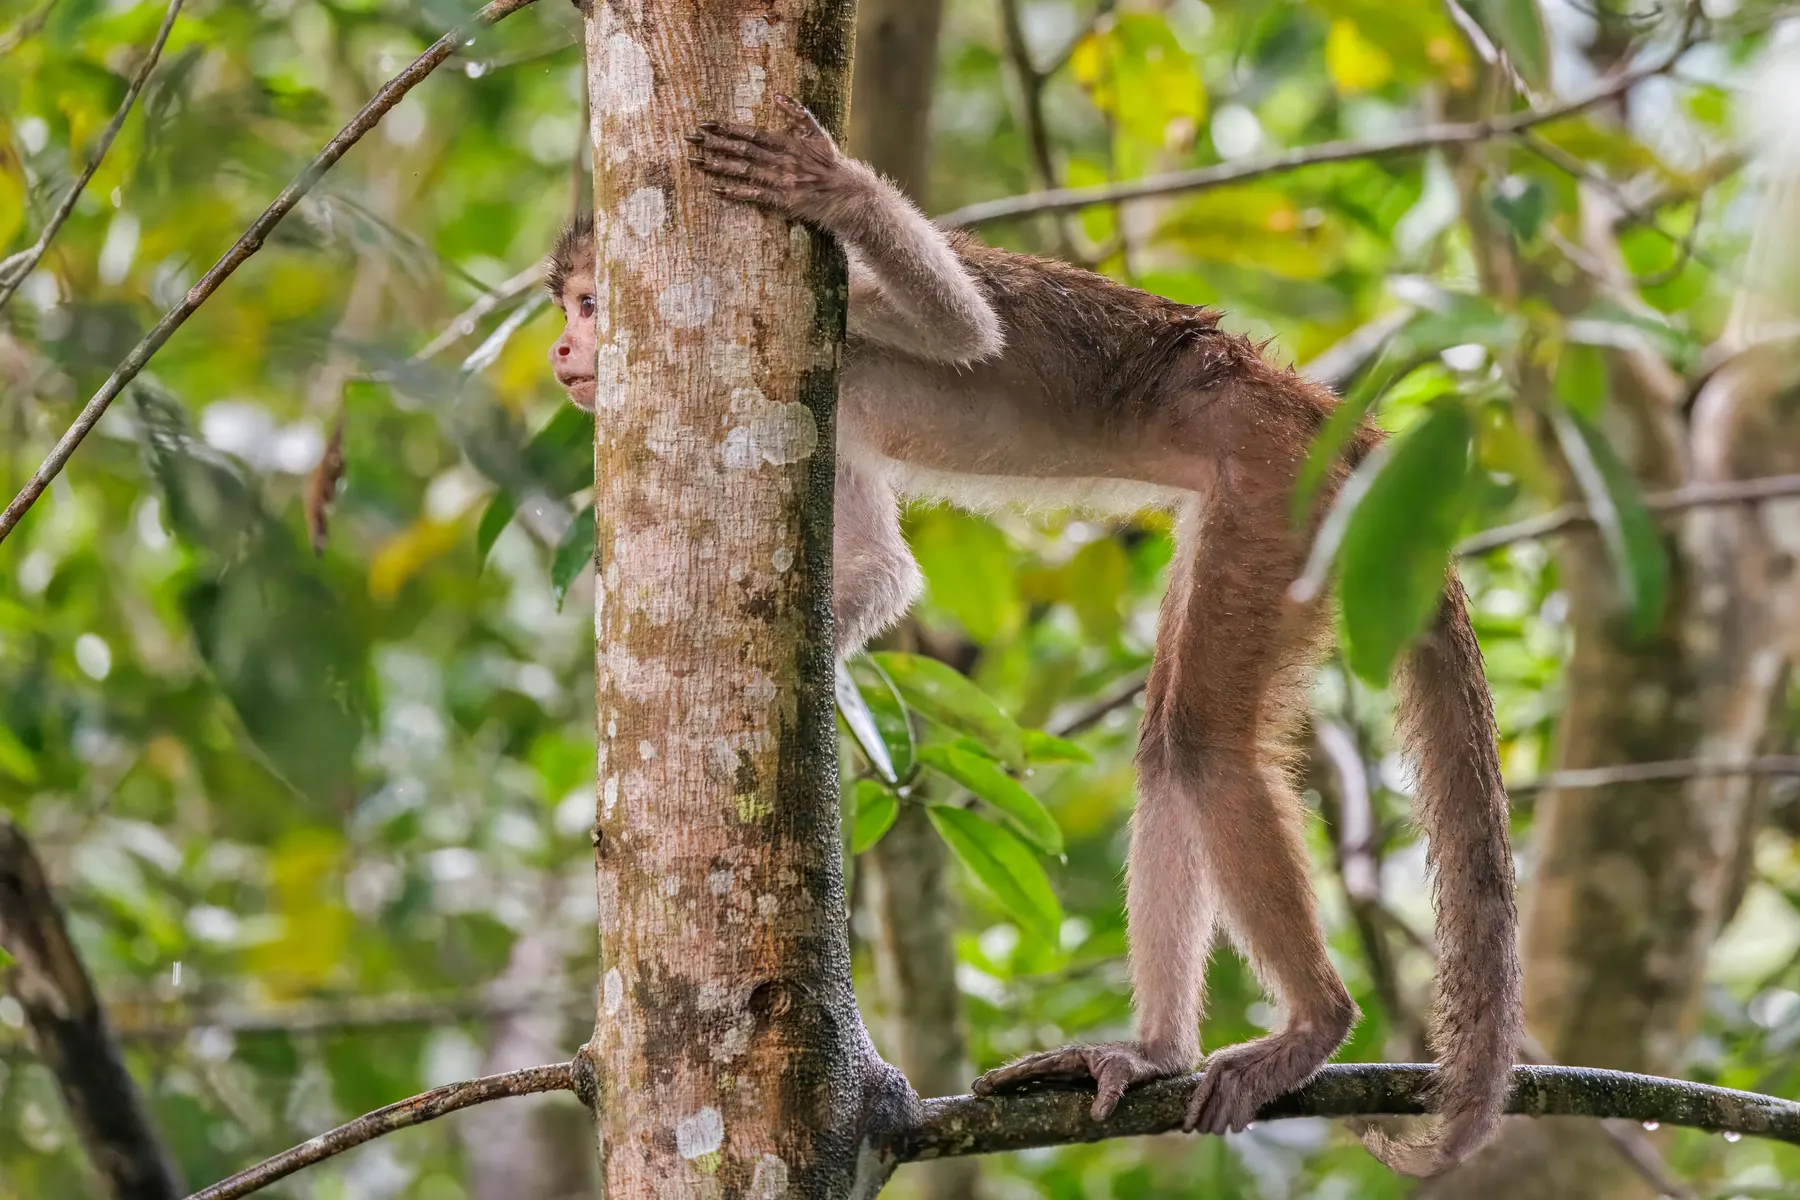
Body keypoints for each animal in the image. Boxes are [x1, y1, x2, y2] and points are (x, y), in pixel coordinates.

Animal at [545, 95, 1520, 1177]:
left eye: (589, 304)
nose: (560, 352)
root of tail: (1320, 413)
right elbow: (880, 571)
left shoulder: (841, 307)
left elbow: (964, 328)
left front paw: (834, 188)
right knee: (1168, 744)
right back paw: (1154, 1052)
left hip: (1278, 489)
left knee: (1202, 744)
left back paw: (1315, 1025)